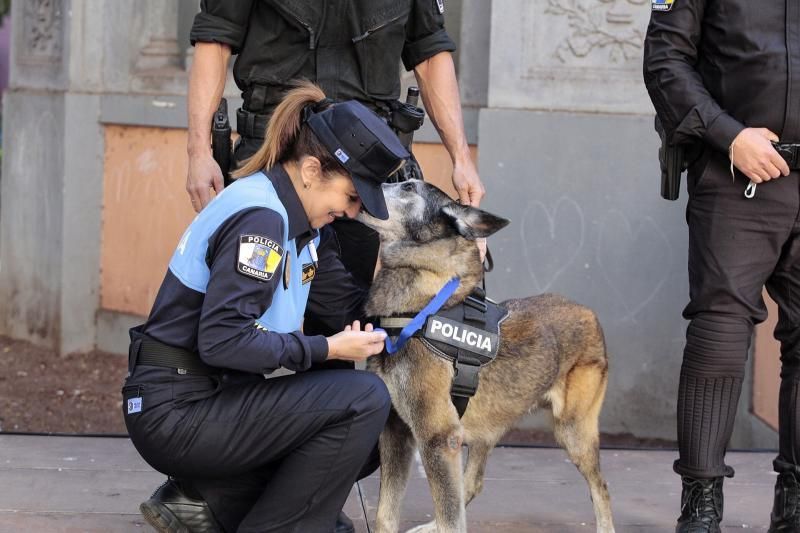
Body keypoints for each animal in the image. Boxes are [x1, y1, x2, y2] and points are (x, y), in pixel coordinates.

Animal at [360, 180, 616, 532]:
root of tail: (589, 313)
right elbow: (386, 515)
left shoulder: (438, 439)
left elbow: (450, 517)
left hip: (572, 433)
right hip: (486, 427)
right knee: (472, 485)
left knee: (600, 487)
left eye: (409, 187)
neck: (419, 309)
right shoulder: (396, 433)